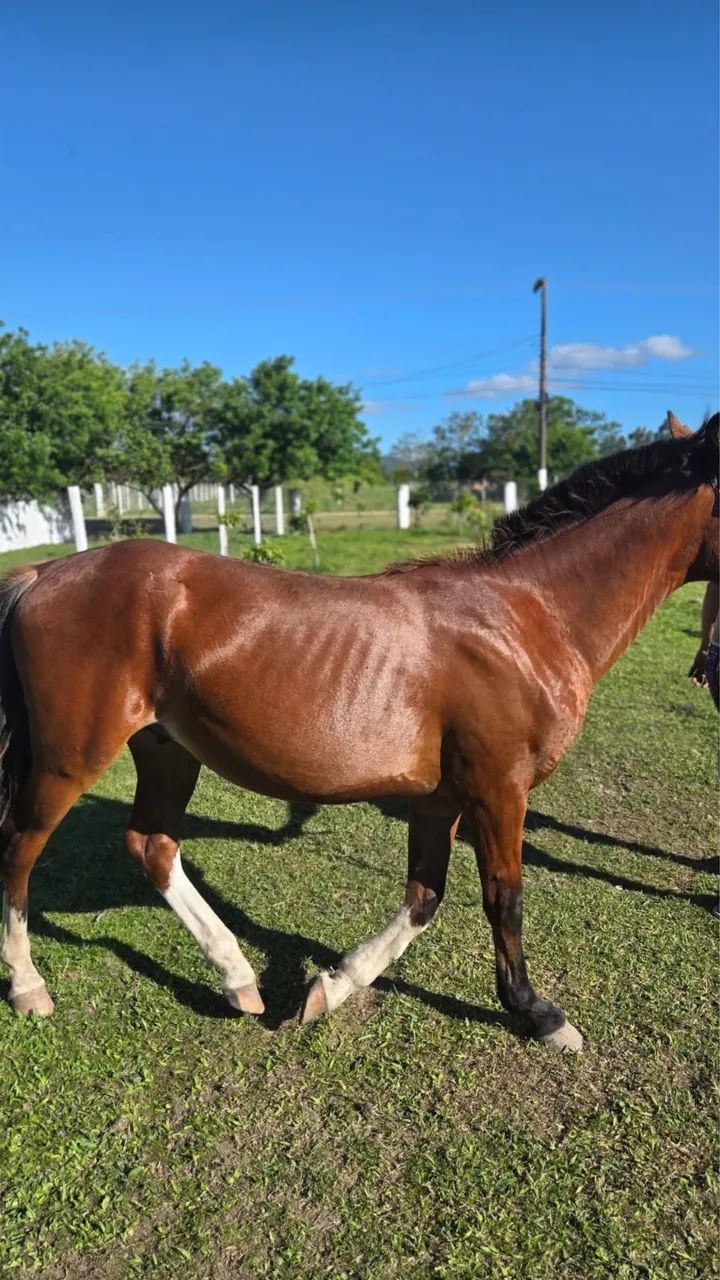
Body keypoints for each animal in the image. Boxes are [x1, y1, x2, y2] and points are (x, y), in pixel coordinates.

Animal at [0, 413, 717, 1052]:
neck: (524, 618)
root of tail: (44, 574)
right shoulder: (498, 791)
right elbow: (503, 898)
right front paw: (537, 1013)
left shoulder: (439, 801)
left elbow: (424, 899)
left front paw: (331, 987)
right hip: (70, 758)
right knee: (20, 848)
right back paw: (28, 986)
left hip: (166, 752)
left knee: (151, 846)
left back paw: (238, 978)